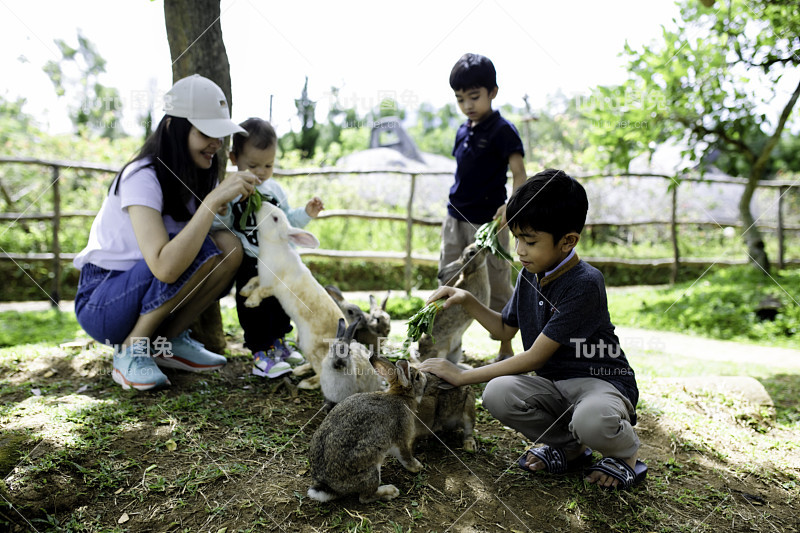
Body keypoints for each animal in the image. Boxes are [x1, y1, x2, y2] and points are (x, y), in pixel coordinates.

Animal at [241, 202, 346, 388]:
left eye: (275, 218)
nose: (262, 204)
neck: (274, 244)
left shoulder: (272, 286)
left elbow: (260, 291)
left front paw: (251, 302)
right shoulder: (262, 278)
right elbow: (254, 280)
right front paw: (244, 291)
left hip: (310, 346)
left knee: (322, 372)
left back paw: (306, 383)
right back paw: (299, 370)